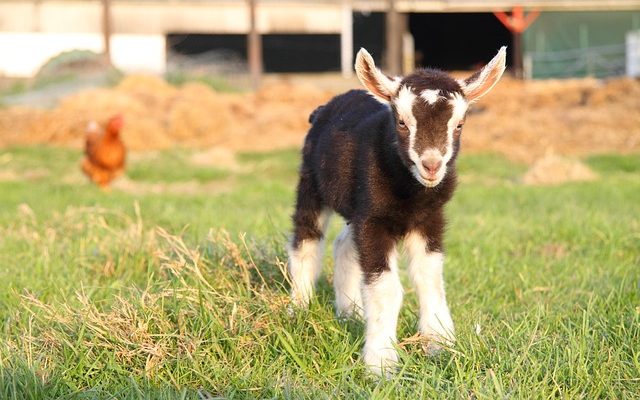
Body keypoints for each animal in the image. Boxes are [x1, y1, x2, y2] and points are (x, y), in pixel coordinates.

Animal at [288, 47, 504, 376]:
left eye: (459, 125)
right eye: (402, 122)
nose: (431, 165)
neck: (410, 194)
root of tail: (326, 107)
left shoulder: (429, 219)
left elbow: (430, 279)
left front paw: (440, 343)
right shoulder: (373, 220)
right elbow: (386, 288)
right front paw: (381, 363)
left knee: (343, 246)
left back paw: (349, 312)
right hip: (311, 181)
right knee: (306, 240)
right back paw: (298, 308)